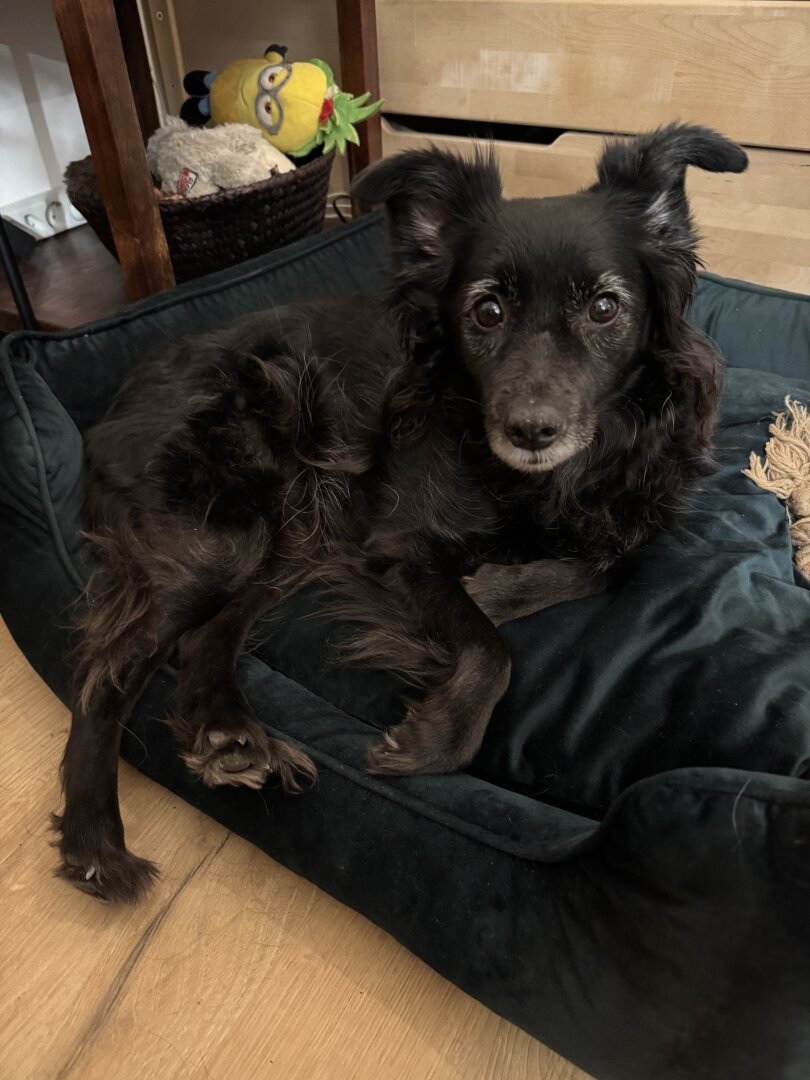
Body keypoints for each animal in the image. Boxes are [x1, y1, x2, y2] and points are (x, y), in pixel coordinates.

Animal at [53, 123, 747, 901]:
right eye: (487, 311)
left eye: (605, 307)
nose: (531, 431)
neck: (541, 483)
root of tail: (121, 395)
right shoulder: (399, 544)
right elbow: (492, 648)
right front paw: (440, 735)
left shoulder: (621, 518)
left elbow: (606, 566)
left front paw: (496, 587)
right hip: (227, 535)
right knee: (104, 669)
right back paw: (94, 840)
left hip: (298, 531)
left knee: (203, 638)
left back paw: (232, 739)